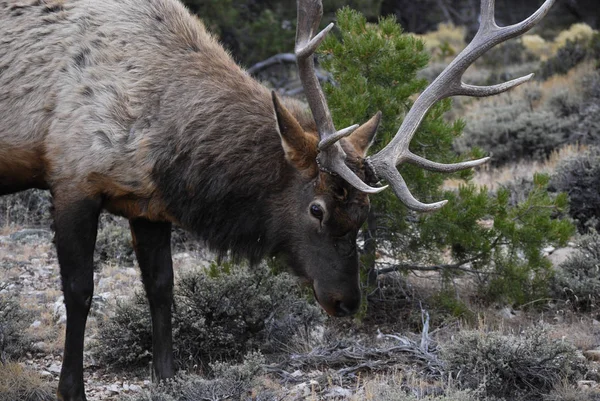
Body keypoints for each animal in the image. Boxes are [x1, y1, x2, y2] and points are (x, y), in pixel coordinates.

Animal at [0, 0, 552, 398]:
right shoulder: (73, 180)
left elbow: (161, 288)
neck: (160, 140)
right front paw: (71, 389)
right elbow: (79, 291)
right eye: (317, 208)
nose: (346, 302)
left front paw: (167, 377)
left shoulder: (146, 204)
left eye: (364, 214)